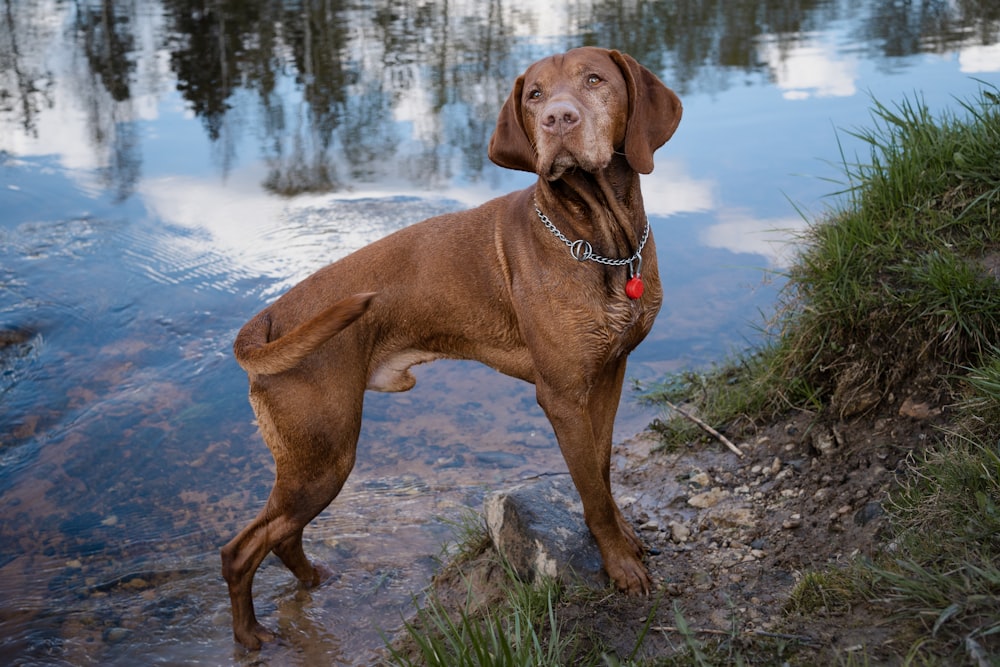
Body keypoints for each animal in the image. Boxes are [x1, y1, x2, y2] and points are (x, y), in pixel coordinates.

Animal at [223, 45, 684, 648]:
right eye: (535, 94)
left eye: (594, 80)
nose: (558, 119)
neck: (603, 240)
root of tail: (269, 318)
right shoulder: (562, 396)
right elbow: (592, 489)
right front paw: (622, 566)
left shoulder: (608, 375)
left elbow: (602, 476)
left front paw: (623, 536)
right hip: (322, 456)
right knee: (241, 549)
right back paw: (250, 637)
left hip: (315, 461)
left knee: (280, 535)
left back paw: (314, 583)